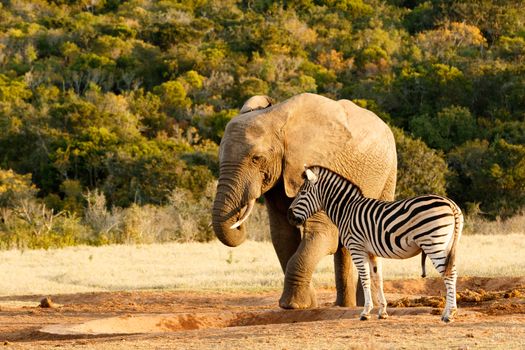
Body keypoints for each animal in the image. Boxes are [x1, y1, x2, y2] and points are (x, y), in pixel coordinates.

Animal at [211, 93, 396, 308]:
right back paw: (346, 305)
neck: (276, 118)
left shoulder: (323, 169)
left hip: (388, 174)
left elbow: (322, 235)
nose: (238, 222)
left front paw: (294, 305)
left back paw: (364, 304)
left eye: (256, 158)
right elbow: (282, 236)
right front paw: (306, 303)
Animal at [286, 167, 462, 322]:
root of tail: (451, 204)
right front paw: (382, 311)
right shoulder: (372, 253)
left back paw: (449, 314)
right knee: (452, 272)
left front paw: (365, 312)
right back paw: (447, 312)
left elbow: (365, 279)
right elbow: (377, 279)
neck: (346, 210)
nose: (290, 217)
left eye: (302, 193)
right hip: (446, 244)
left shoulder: (357, 249)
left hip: (434, 244)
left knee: (449, 274)